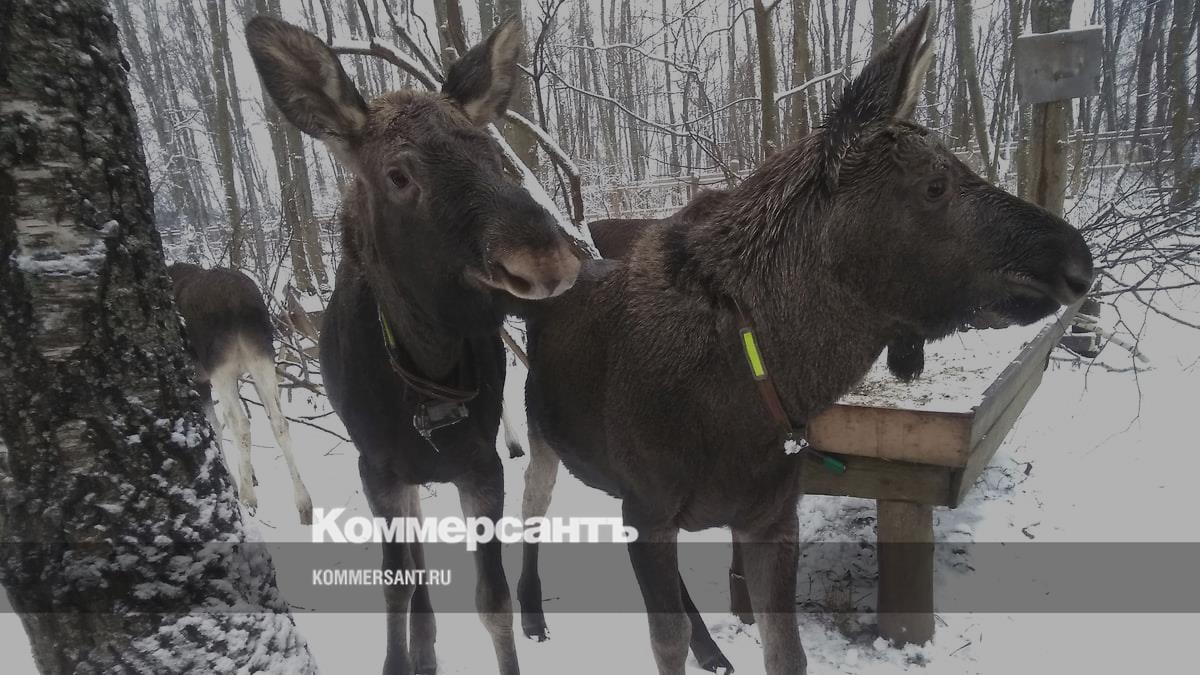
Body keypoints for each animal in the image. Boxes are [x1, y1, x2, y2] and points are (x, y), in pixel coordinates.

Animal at [167, 262, 312, 524]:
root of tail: (237, 304)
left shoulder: (200, 379)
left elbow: (215, 426)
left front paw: (234, 481)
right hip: (261, 356)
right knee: (279, 421)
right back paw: (303, 502)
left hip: (221, 368)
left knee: (241, 423)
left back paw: (248, 497)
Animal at [246, 16, 580, 675]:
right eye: (399, 175)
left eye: (494, 156)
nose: (546, 260)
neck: (425, 378)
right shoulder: (377, 469)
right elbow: (398, 587)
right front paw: (400, 660)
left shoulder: (479, 467)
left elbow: (493, 601)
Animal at [516, 7, 1094, 674]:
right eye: (935, 185)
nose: (1076, 260)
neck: (754, 400)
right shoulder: (649, 508)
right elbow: (665, 641)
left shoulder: (766, 516)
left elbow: (786, 652)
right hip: (542, 437)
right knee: (527, 513)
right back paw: (532, 616)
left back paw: (711, 647)